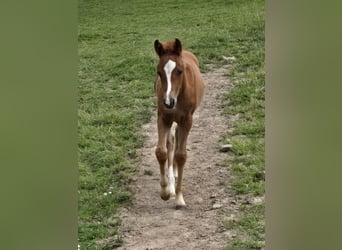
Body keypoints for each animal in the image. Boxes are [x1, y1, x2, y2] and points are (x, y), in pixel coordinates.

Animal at [154, 37, 204, 209]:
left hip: (181, 122)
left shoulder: (187, 120)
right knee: (170, 142)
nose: (168, 102)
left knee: (176, 142)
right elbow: (161, 152)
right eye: (159, 72)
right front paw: (165, 191)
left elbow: (181, 155)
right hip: (171, 120)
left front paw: (180, 199)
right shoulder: (163, 118)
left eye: (180, 71)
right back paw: (170, 183)